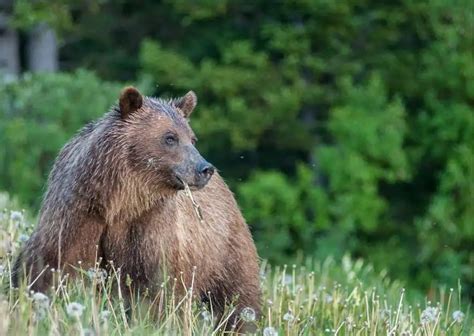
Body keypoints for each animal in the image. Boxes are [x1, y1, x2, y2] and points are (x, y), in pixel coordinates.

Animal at [12, 86, 262, 328]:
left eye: (192, 139)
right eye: (170, 137)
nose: (204, 168)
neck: (119, 203)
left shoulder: (150, 227)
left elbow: (158, 287)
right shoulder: (79, 215)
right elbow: (50, 266)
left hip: (224, 249)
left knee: (238, 296)